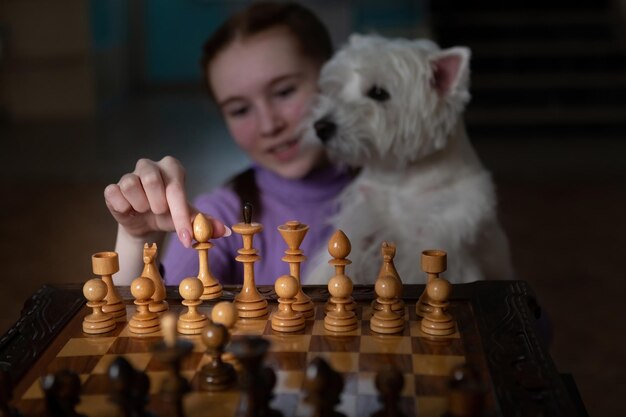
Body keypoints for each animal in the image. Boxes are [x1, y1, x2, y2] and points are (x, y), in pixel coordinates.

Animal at [302, 34, 512, 284]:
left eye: (378, 93)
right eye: (338, 89)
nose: (320, 127)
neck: (400, 177)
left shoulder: (440, 238)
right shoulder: (360, 223)